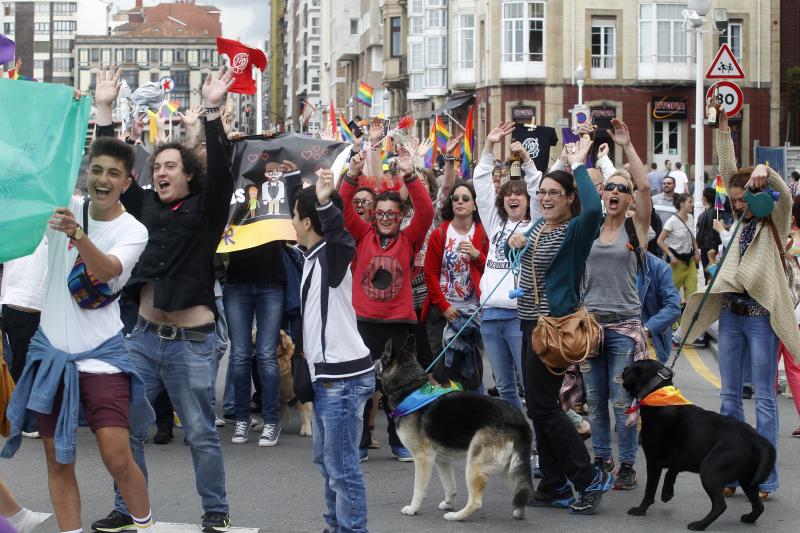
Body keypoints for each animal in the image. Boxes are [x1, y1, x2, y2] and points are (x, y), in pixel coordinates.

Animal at [380, 336, 536, 520]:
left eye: (382, 358)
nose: (372, 362)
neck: (409, 387)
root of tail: (519, 420)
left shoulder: (423, 458)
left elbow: (418, 489)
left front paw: (413, 508)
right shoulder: (441, 460)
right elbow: (450, 487)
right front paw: (448, 503)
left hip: (475, 464)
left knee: (476, 502)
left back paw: (456, 516)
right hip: (509, 470)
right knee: (523, 492)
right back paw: (519, 512)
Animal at [624, 358, 776, 528]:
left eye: (632, 367)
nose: (623, 369)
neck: (657, 393)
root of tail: (757, 438)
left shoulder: (654, 461)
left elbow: (650, 490)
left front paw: (641, 509)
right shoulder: (686, 455)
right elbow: (672, 471)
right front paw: (667, 493)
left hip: (710, 470)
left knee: (720, 505)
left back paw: (699, 525)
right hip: (747, 480)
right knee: (758, 505)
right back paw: (749, 518)